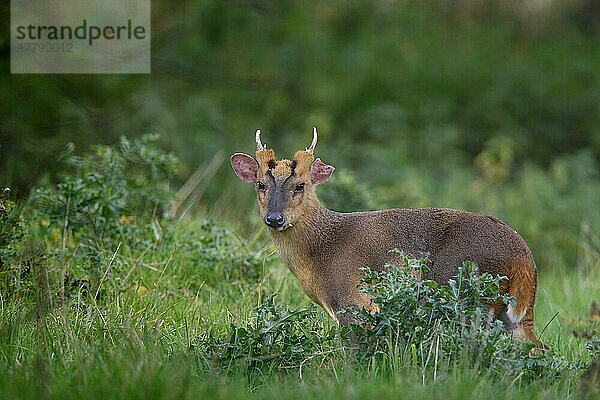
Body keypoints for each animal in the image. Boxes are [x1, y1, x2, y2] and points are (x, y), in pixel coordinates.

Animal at [232, 128, 548, 346]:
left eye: (301, 185)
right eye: (260, 184)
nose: (274, 218)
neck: (321, 252)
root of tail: (525, 257)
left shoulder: (354, 304)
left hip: (463, 293)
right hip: (512, 316)